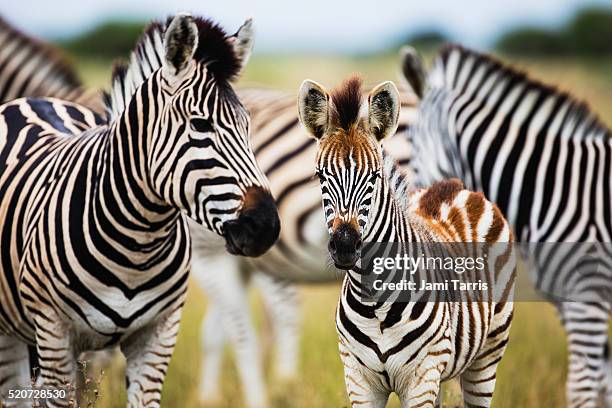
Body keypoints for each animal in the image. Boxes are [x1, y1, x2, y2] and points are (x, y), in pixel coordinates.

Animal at [0, 12, 280, 408]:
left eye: (247, 126)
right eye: (200, 124)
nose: (266, 226)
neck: (137, 245)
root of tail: (34, 100)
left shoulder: (158, 337)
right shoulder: (54, 337)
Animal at [192, 84, 416, 406]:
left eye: (375, 177)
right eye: (319, 176)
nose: (345, 246)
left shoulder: (208, 256)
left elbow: (242, 336)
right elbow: (216, 333)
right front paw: (210, 398)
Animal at [298, 75, 512, 406]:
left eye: (373, 177)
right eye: (321, 176)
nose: (345, 246)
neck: (374, 301)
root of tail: (455, 185)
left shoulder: (421, 376)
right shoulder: (358, 379)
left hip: (487, 354)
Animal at [404, 43, 612, 406]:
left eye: (412, 142)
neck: (552, 188)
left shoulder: (587, 294)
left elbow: (582, 385)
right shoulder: (568, 299)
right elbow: (605, 380)